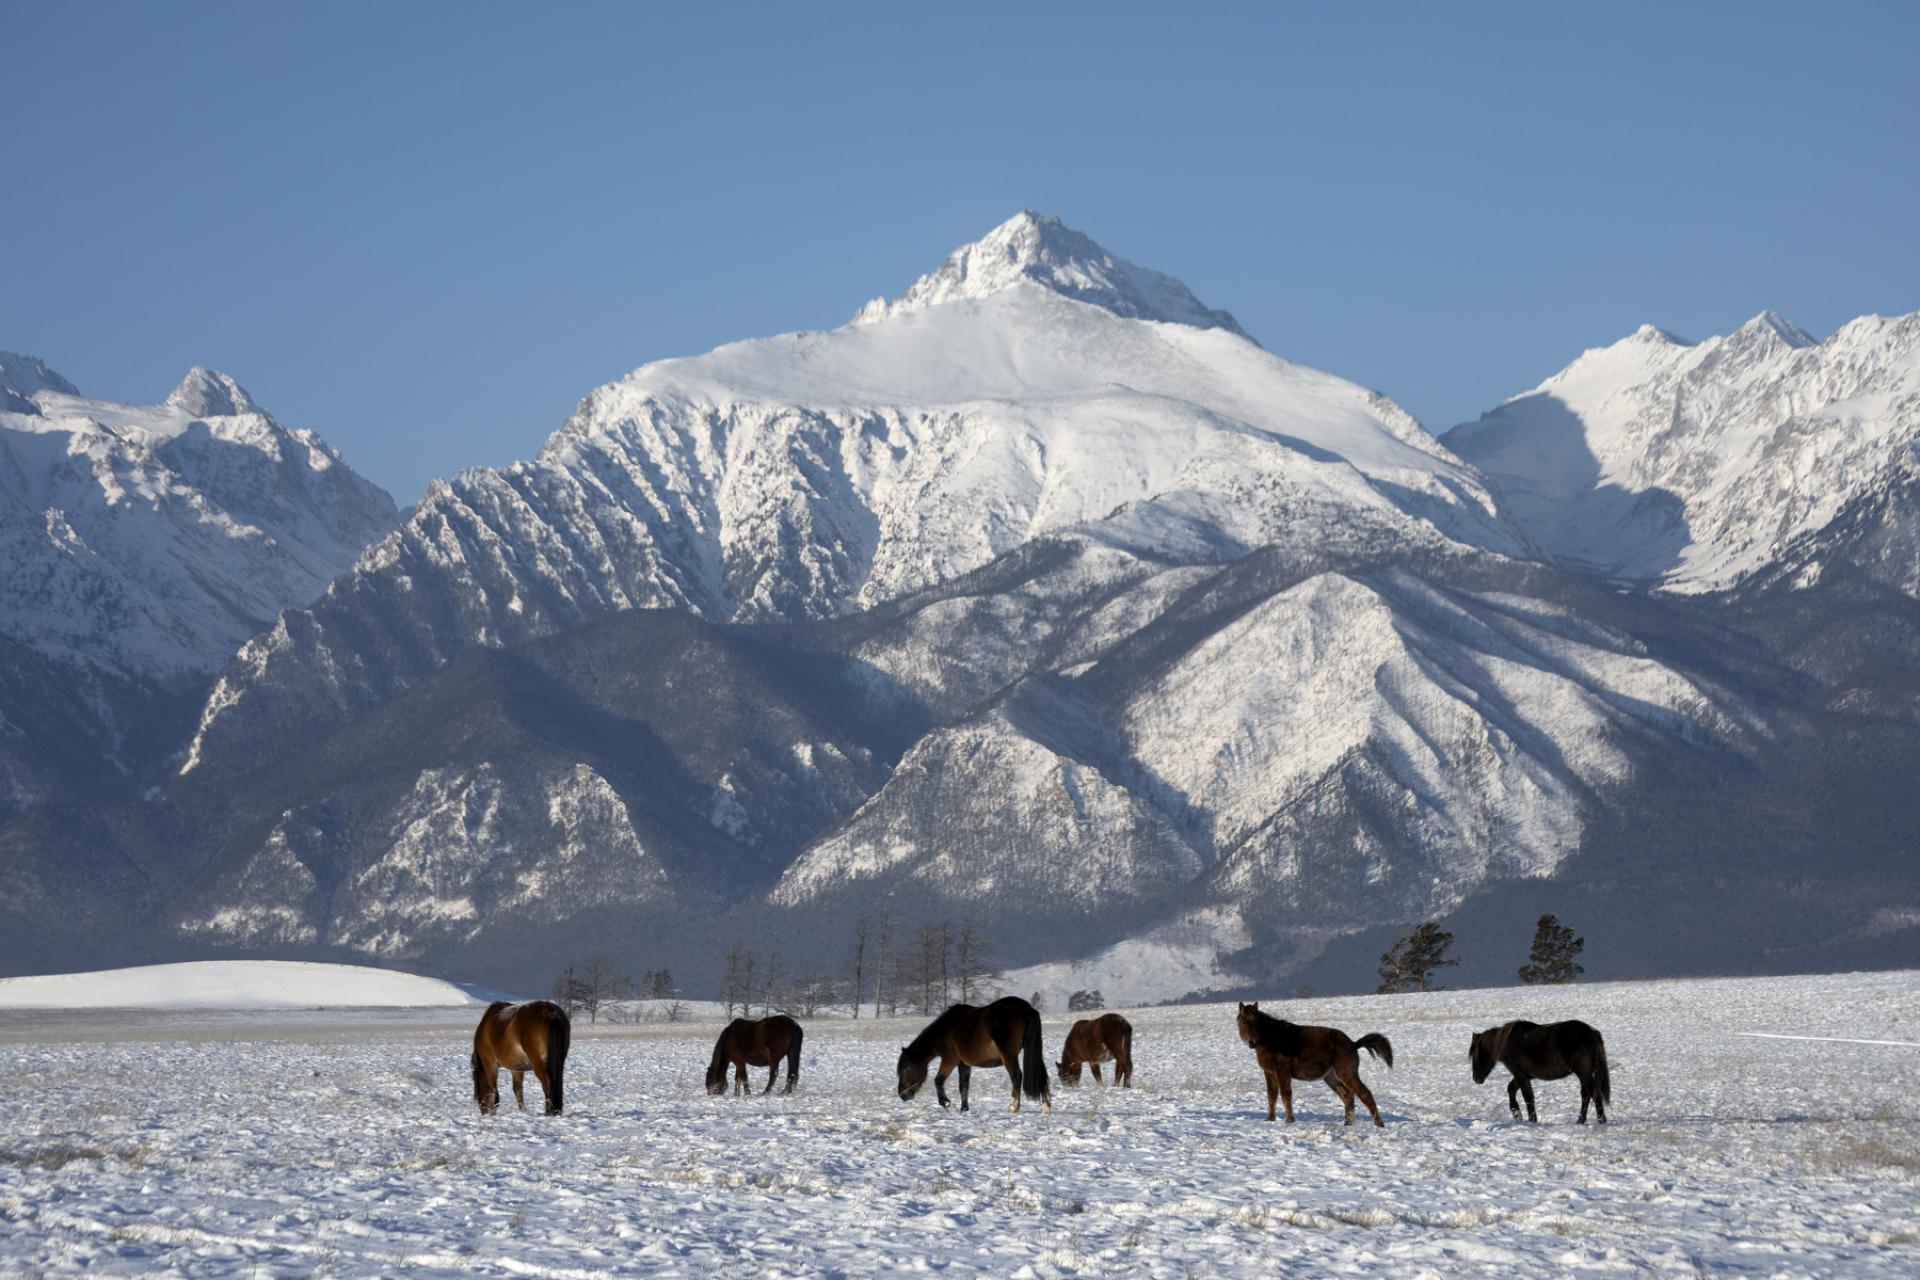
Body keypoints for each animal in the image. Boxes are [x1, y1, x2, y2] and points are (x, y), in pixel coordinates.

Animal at [894, 990, 1052, 1113]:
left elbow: (938, 1080)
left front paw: (945, 1102)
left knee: (1016, 1076)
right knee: (1040, 1074)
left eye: (905, 1068)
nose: (902, 1095)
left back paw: (1013, 1107)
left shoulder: (950, 1060)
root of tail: (1026, 1008)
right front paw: (964, 1109)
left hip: (1009, 1056)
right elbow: (963, 1086)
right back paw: (1045, 1107)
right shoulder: (964, 1063)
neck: (944, 1031)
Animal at [1236, 1005, 1390, 1128]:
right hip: (1331, 1077)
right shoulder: (1269, 1072)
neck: (1272, 1040)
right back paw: (1347, 1122)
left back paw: (1378, 1123)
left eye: (1256, 1022)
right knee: (1347, 1095)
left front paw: (1289, 1120)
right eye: (1242, 1022)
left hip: (1347, 1074)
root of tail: (1353, 1043)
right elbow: (1272, 1094)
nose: (1252, 1043)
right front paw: (1270, 1119)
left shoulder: (1282, 1072)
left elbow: (1285, 1094)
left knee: (1364, 1093)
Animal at [1466, 1020, 1605, 1120]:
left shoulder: (1520, 1076)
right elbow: (1511, 1089)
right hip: (1585, 1074)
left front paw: (1531, 1120)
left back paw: (1598, 1121)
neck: (1505, 1042)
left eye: (1475, 1054)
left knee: (1593, 1094)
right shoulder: (1522, 1076)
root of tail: (1590, 1032)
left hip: (1583, 1073)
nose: (1476, 1079)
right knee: (1587, 1095)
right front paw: (1517, 1113)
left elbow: (1527, 1097)